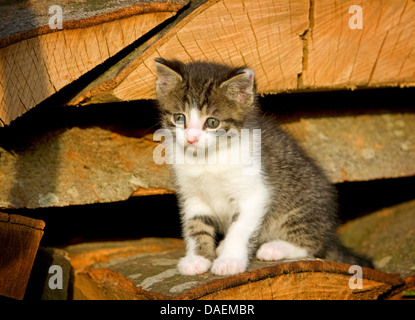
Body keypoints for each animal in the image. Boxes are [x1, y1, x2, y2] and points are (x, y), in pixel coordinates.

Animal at [154, 57, 374, 276]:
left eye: (212, 122)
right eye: (179, 118)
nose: (191, 139)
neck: (207, 159)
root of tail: (331, 232)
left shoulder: (255, 193)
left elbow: (239, 229)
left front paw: (230, 261)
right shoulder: (193, 196)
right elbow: (196, 226)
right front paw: (197, 258)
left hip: (300, 207)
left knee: (313, 245)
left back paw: (274, 248)